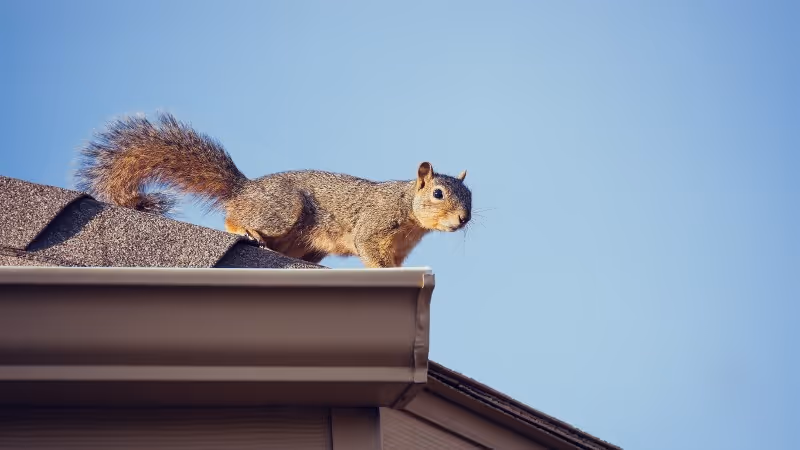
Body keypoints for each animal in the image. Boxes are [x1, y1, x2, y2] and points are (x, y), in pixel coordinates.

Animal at [75, 112, 472, 268]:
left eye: (471, 197)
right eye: (438, 193)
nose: (463, 219)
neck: (408, 211)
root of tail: (245, 189)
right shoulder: (372, 226)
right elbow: (369, 250)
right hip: (282, 211)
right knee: (233, 217)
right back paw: (245, 229)